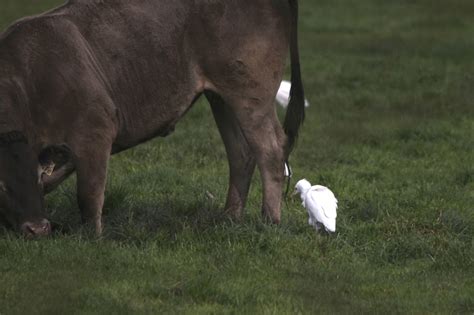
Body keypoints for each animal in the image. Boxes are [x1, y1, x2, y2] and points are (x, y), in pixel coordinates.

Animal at [0, 0, 304, 237]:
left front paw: (92, 238)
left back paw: (269, 221)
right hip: (222, 97)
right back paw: (229, 217)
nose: (37, 229)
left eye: (36, 177)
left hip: (251, 96)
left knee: (270, 150)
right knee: (240, 153)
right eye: (2, 184)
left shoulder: (95, 129)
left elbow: (88, 195)